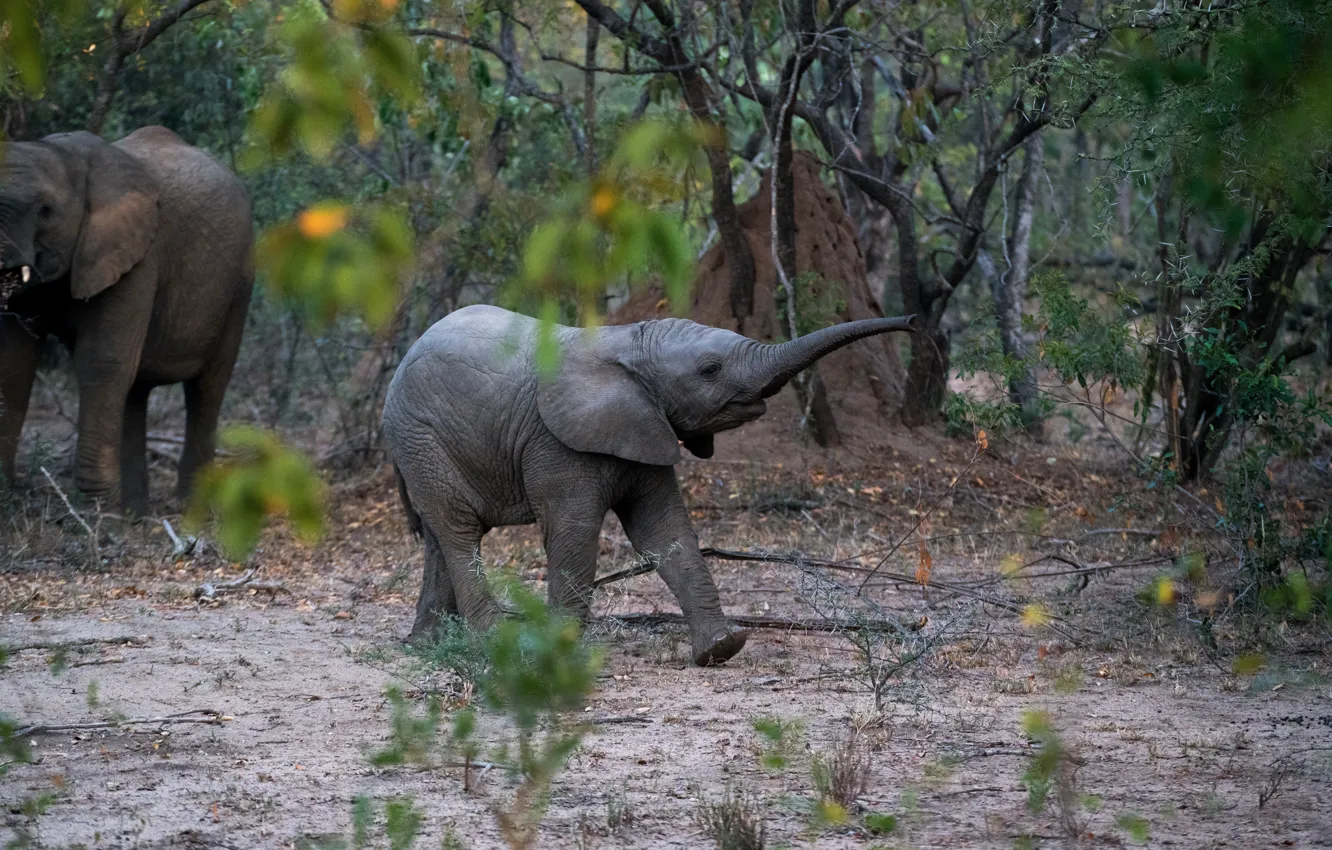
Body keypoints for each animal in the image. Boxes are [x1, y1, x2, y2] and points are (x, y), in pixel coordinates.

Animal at [0, 126, 254, 515]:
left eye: (45, 211)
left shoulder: (137, 258)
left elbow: (101, 361)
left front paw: (95, 513)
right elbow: (15, 363)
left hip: (240, 282)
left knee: (207, 388)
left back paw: (188, 509)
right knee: (136, 390)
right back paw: (135, 511)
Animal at [382, 304, 916, 666]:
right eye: (710, 369)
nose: (913, 321)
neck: (628, 344)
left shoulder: (646, 426)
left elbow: (664, 531)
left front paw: (722, 648)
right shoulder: (556, 443)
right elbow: (575, 534)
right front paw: (557, 657)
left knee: (439, 536)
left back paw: (427, 644)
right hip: (420, 437)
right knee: (459, 530)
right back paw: (495, 643)